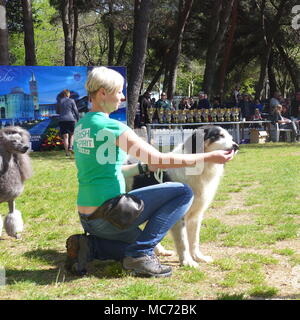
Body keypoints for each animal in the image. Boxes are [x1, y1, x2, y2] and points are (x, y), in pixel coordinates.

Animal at [126, 126, 239, 268]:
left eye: (230, 137)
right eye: (219, 136)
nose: (236, 146)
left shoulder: (196, 215)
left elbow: (194, 240)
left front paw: (198, 257)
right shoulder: (179, 215)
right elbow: (183, 241)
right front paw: (187, 261)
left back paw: (161, 251)